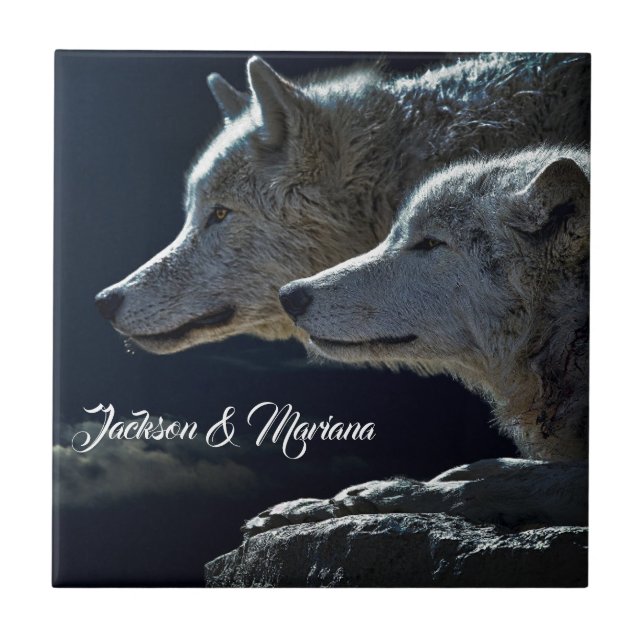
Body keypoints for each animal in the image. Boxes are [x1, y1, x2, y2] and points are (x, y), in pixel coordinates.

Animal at [243, 145, 589, 536]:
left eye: (430, 243)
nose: (289, 295)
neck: (569, 328)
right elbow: (494, 467)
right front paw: (307, 506)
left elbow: (494, 484)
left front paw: (379, 495)